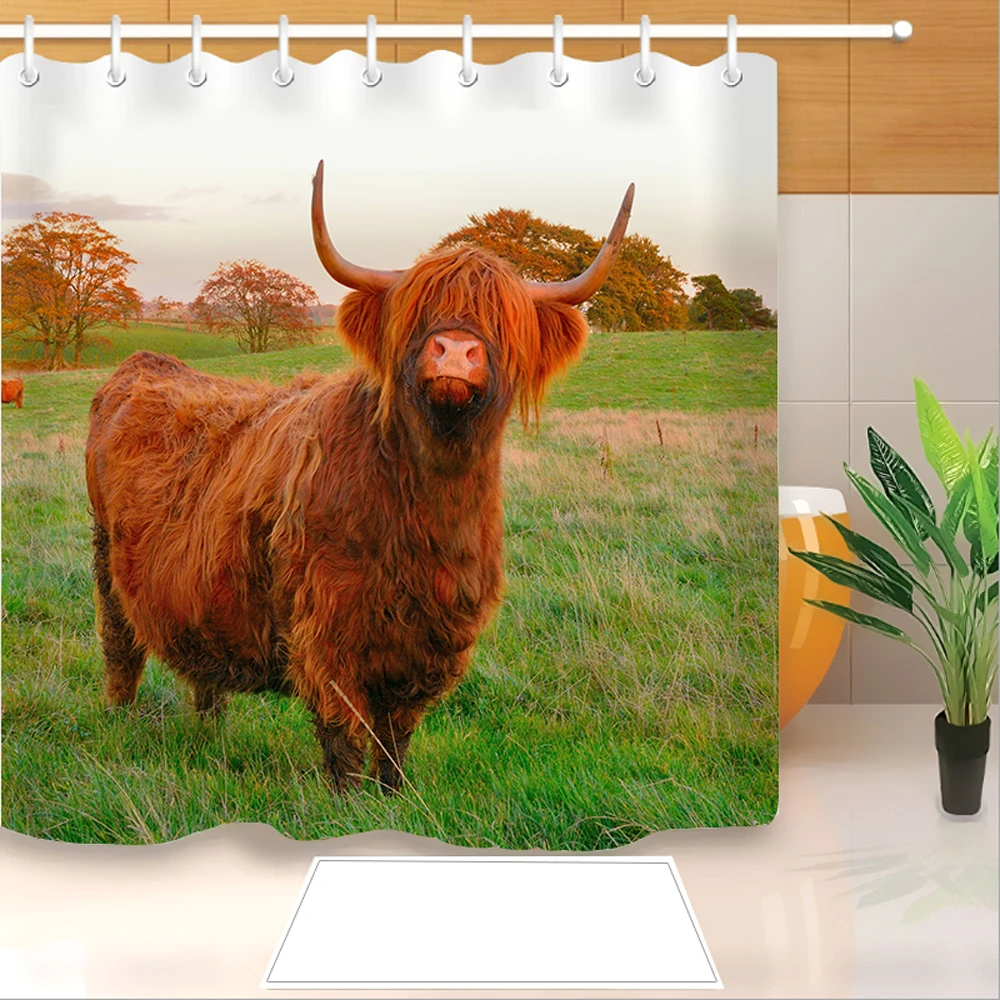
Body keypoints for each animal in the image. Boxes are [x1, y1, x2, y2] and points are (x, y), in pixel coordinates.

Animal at [85, 161, 633, 794]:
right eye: (415, 314)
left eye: (503, 319)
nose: (455, 351)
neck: (427, 508)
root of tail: (143, 363)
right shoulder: (327, 628)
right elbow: (345, 731)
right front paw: (349, 800)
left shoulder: (433, 638)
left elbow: (395, 735)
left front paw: (393, 793)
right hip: (105, 560)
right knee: (120, 650)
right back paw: (120, 725)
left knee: (203, 671)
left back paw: (209, 734)